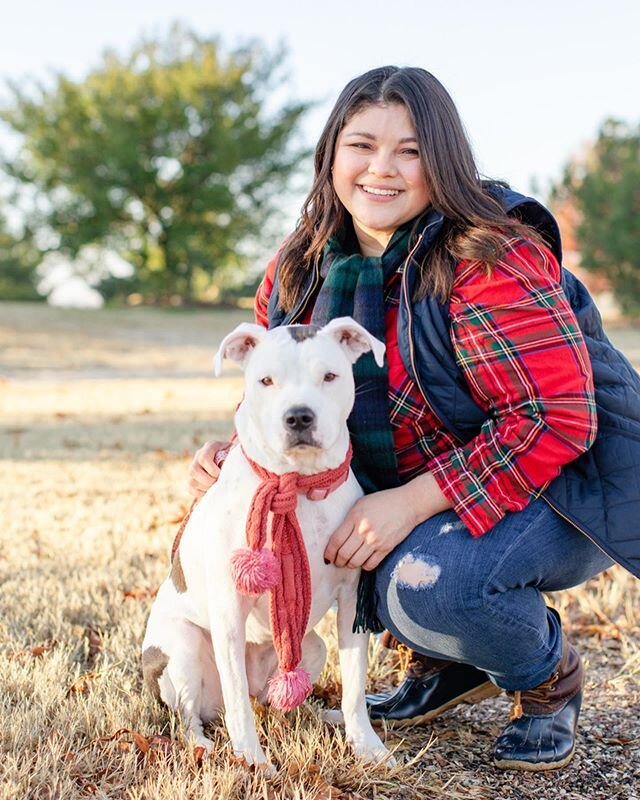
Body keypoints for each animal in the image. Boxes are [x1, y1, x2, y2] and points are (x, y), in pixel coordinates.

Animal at [142, 316, 392, 772]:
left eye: (329, 376)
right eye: (266, 380)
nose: (299, 417)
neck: (296, 483)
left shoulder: (351, 600)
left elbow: (354, 687)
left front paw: (367, 746)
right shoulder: (228, 608)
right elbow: (239, 703)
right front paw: (253, 762)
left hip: (310, 645)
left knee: (274, 701)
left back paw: (311, 716)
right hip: (182, 649)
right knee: (197, 713)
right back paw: (203, 744)